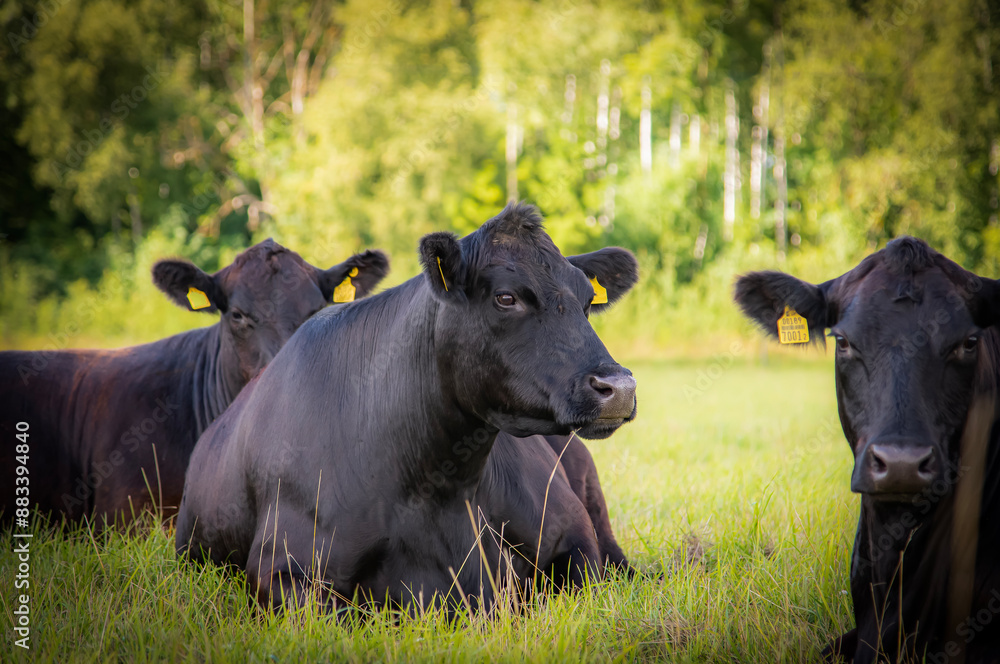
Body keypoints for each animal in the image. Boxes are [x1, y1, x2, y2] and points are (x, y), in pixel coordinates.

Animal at [175, 202, 639, 614]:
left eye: (587, 300)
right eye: (506, 298)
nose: (619, 386)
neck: (437, 489)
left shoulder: (573, 536)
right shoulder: (281, 567)